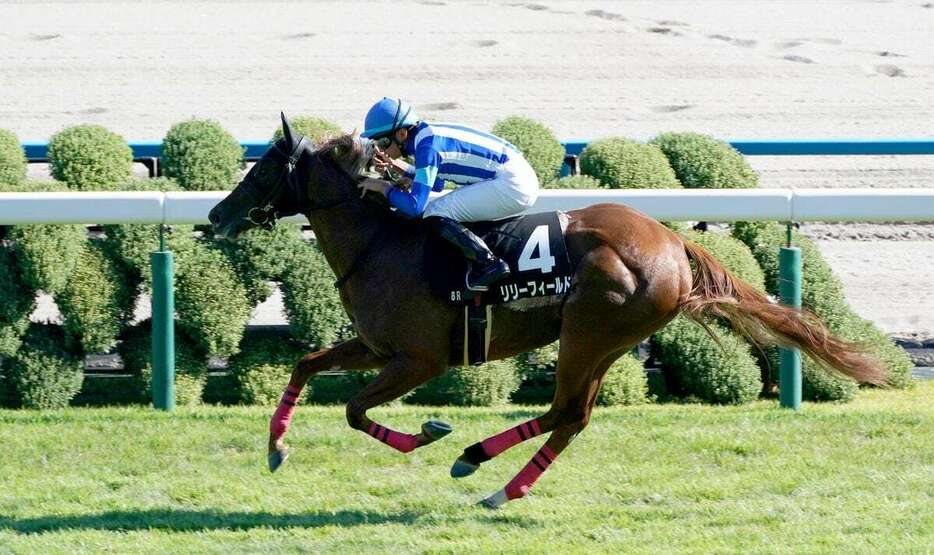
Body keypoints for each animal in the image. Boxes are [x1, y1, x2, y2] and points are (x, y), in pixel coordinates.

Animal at [208, 115, 888, 510]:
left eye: (264, 168)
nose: (216, 214)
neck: (380, 241)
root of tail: (672, 243)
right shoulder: (377, 347)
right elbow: (304, 364)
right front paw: (276, 448)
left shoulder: (420, 359)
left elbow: (354, 409)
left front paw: (429, 431)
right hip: (606, 341)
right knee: (573, 417)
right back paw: (503, 486)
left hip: (589, 333)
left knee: (565, 411)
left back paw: (475, 459)